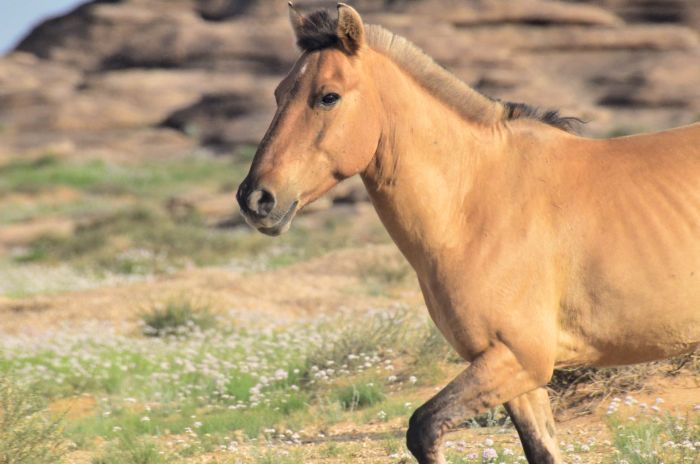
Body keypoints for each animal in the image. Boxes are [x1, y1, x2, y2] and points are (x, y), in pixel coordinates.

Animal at [237, 4, 700, 464]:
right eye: (278, 93)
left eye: (328, 96)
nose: (255, 198)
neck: (475, 202)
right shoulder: (512, 370)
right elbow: (541, 449)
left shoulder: (520, 358)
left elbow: (423, 428)